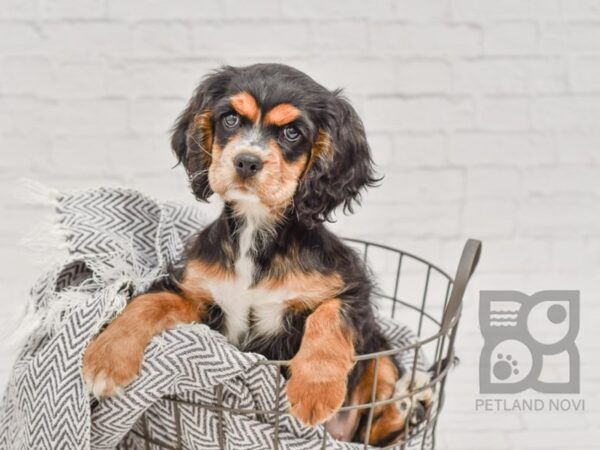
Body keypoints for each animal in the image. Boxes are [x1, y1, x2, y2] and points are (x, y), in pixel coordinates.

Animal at [84, 63, 432, 446]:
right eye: (231, 119)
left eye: (292, 133)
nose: (246, 162)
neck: (256, 231)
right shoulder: (195, 291)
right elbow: (147, 303)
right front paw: (105, 359)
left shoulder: (353, 287)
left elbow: (328, 316)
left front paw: (315, 391)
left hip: (380, 354)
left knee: (375, 426)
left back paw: (409, 403)